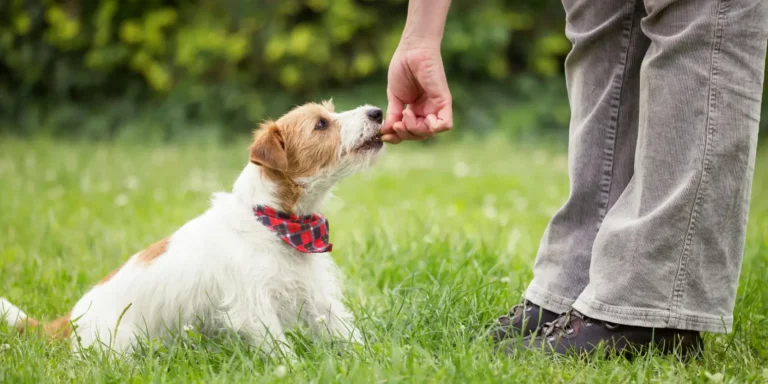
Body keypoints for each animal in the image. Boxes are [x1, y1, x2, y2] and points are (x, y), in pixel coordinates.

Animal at [0, 100, 384, 358]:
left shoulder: (318, 296)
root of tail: (70, 320)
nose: (378, 112)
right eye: (321, 125)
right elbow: (280, 349)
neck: (276, 222)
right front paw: (294, 371)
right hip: (119, 345)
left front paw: (371, 358)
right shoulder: (253, 307)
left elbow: (346, 330)